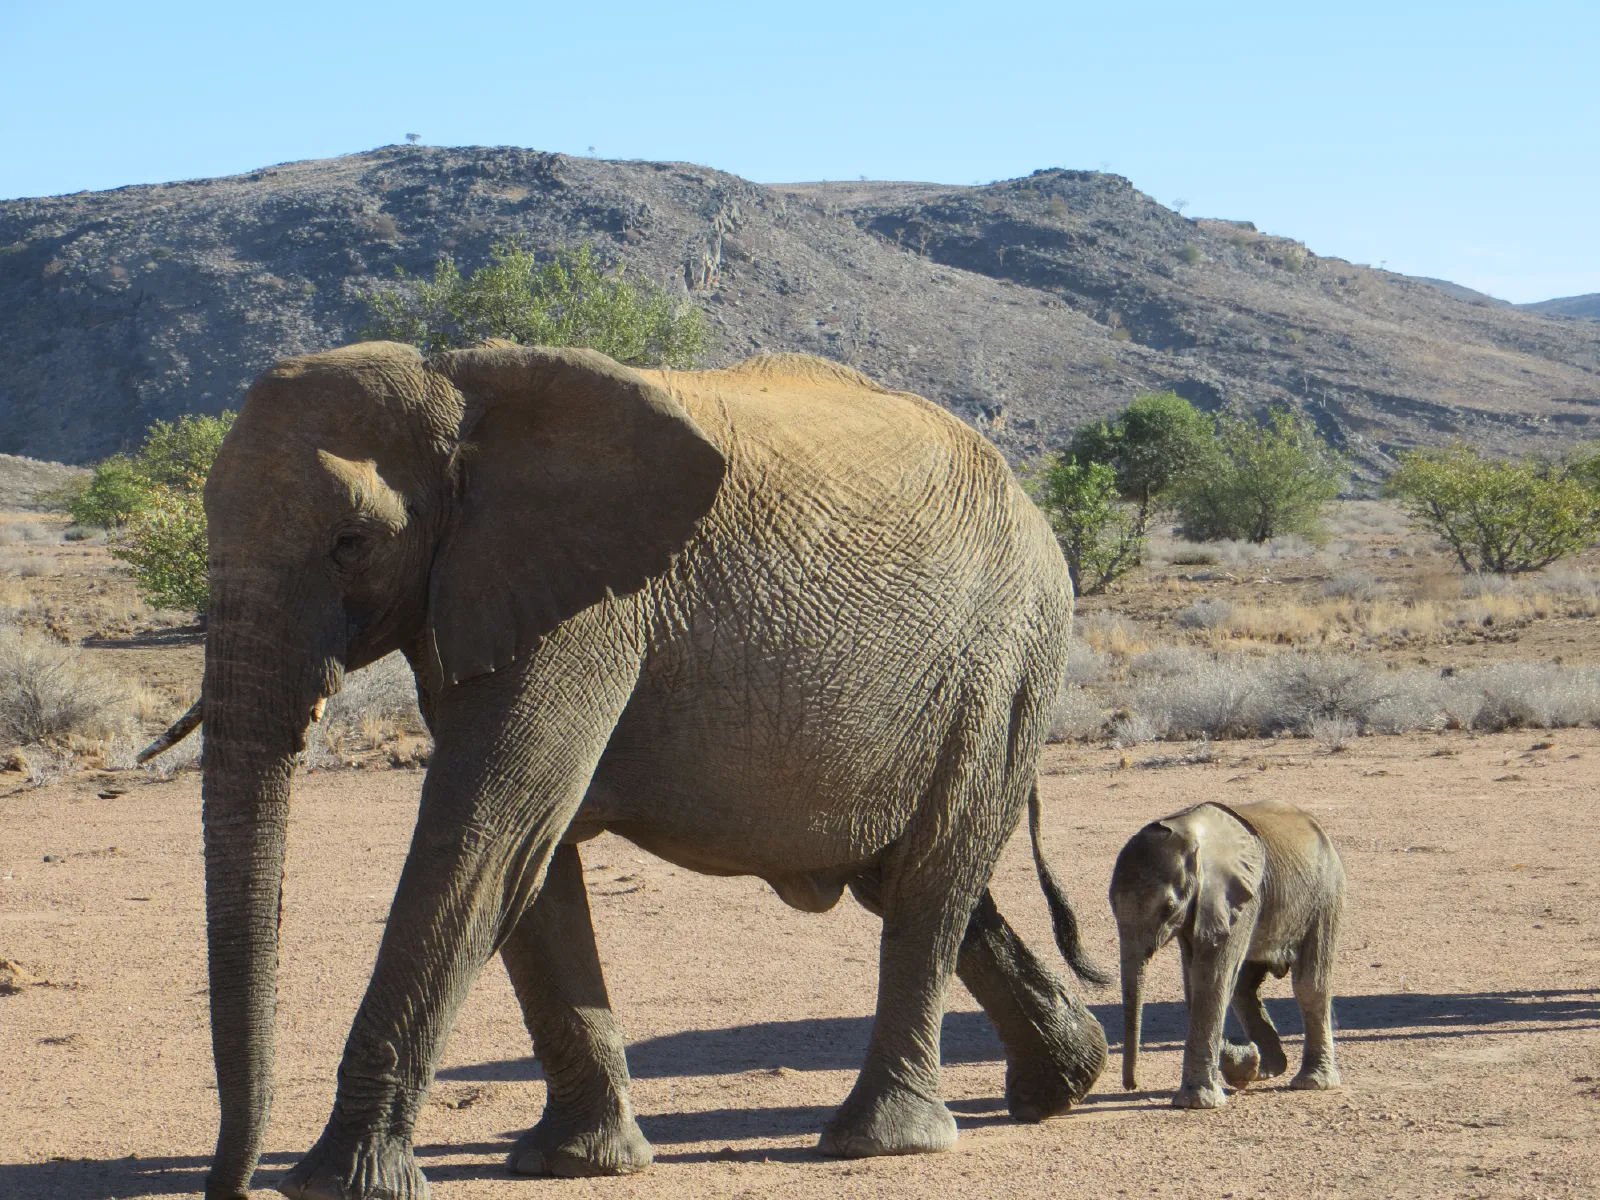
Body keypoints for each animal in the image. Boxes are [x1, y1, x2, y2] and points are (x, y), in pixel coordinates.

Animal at [164, 340, 1111, 1199]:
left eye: (352, 542)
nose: (225, 1188)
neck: (461, 390)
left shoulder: (588, 612)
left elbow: (485, 836)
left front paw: (336, 1184)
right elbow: (531, 864)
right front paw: (578, 1163)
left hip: (1007, 657)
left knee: (932, 879)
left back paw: (880, 1142)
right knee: (910, 878)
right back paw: (1063, 1085)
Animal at [1110, 798, 1344, 1109]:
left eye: (1167, 909)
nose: (1132, 1085)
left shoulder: (1238, 896)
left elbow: (1212, 977)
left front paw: (1197, 1102)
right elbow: (1196, 980)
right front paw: (1244, 1066)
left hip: (1325, 897)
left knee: (1309, 984)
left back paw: (1311, 1082)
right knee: (1244, 988)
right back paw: (1265, 1069)